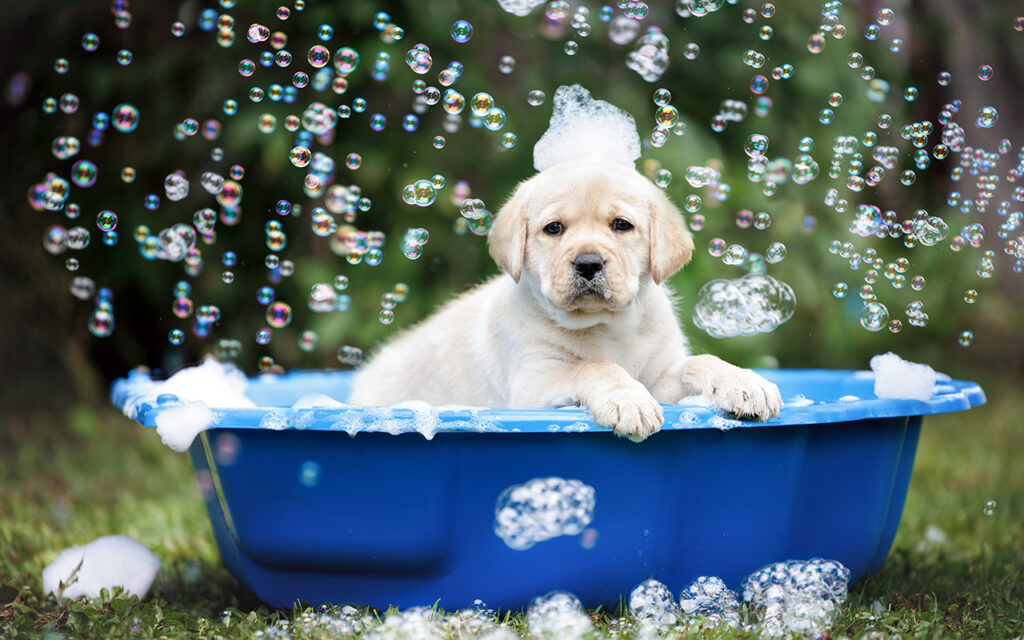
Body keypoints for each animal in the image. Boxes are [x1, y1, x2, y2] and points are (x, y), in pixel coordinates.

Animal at [348, 159, 778, 438]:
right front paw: (627, 398)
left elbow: (699, 362)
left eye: (621, 225)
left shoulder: (660, 375)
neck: (606, 326)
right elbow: (593, 366)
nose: (588, 263)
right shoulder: (530, 386)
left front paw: (743, 382)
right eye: (554, 229)